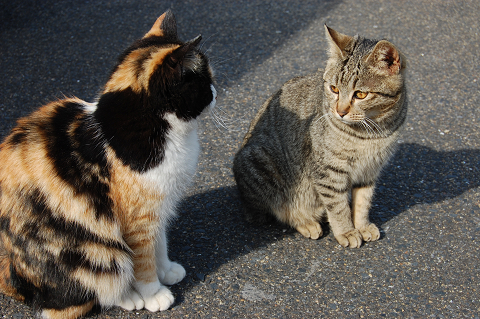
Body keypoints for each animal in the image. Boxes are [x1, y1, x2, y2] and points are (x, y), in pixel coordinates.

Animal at [0, 10, 216, 319]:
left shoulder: (158, 207)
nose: (215, 91)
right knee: (84, 296)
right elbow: (142, 259)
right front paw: (154, 292)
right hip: (97, 255)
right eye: (202, 82)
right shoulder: (137, 219)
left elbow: (159, 242)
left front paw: (166, 269)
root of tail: (12, 275)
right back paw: (129, 297)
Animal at [232, 26, 404, 249]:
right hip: (260, 161)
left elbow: (363, 202)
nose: (340, 111)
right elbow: (338, 206)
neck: (373, 132)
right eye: (334, 89)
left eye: (360, 95)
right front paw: (346, 231)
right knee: (277, 209)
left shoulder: (370, 170)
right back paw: (305, 221)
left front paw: (362, 225)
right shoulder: (328, 171)